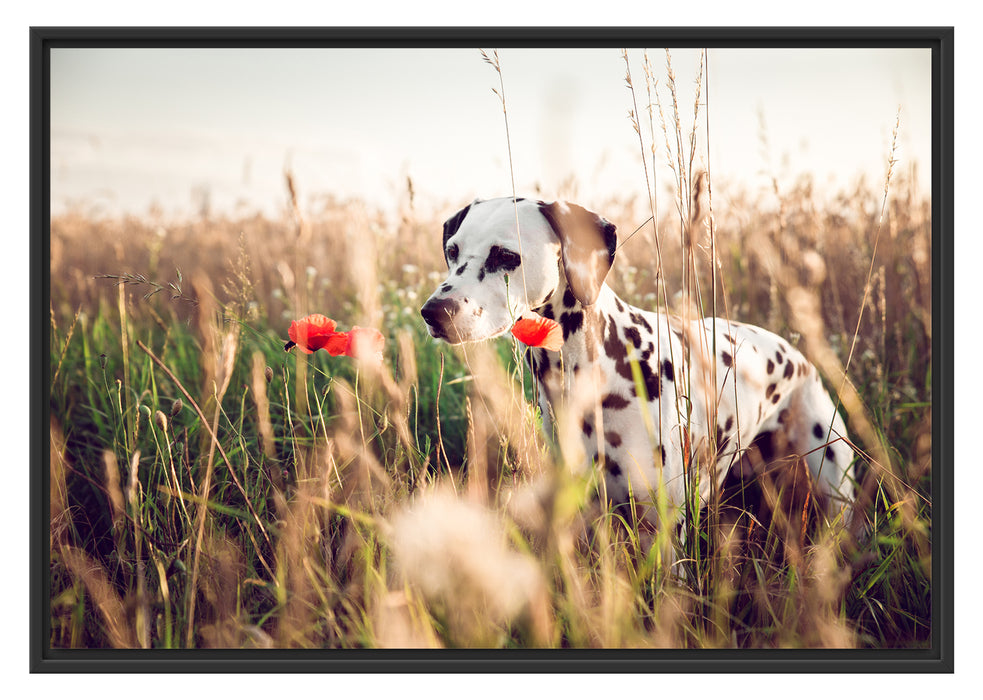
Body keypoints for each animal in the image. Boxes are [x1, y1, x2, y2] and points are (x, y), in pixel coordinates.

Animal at [418, 197, 856, 536]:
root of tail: (797, 354)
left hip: (835, 486)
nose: (434, 312)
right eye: (453, 251)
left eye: (506, 256)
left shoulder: (661, 528)